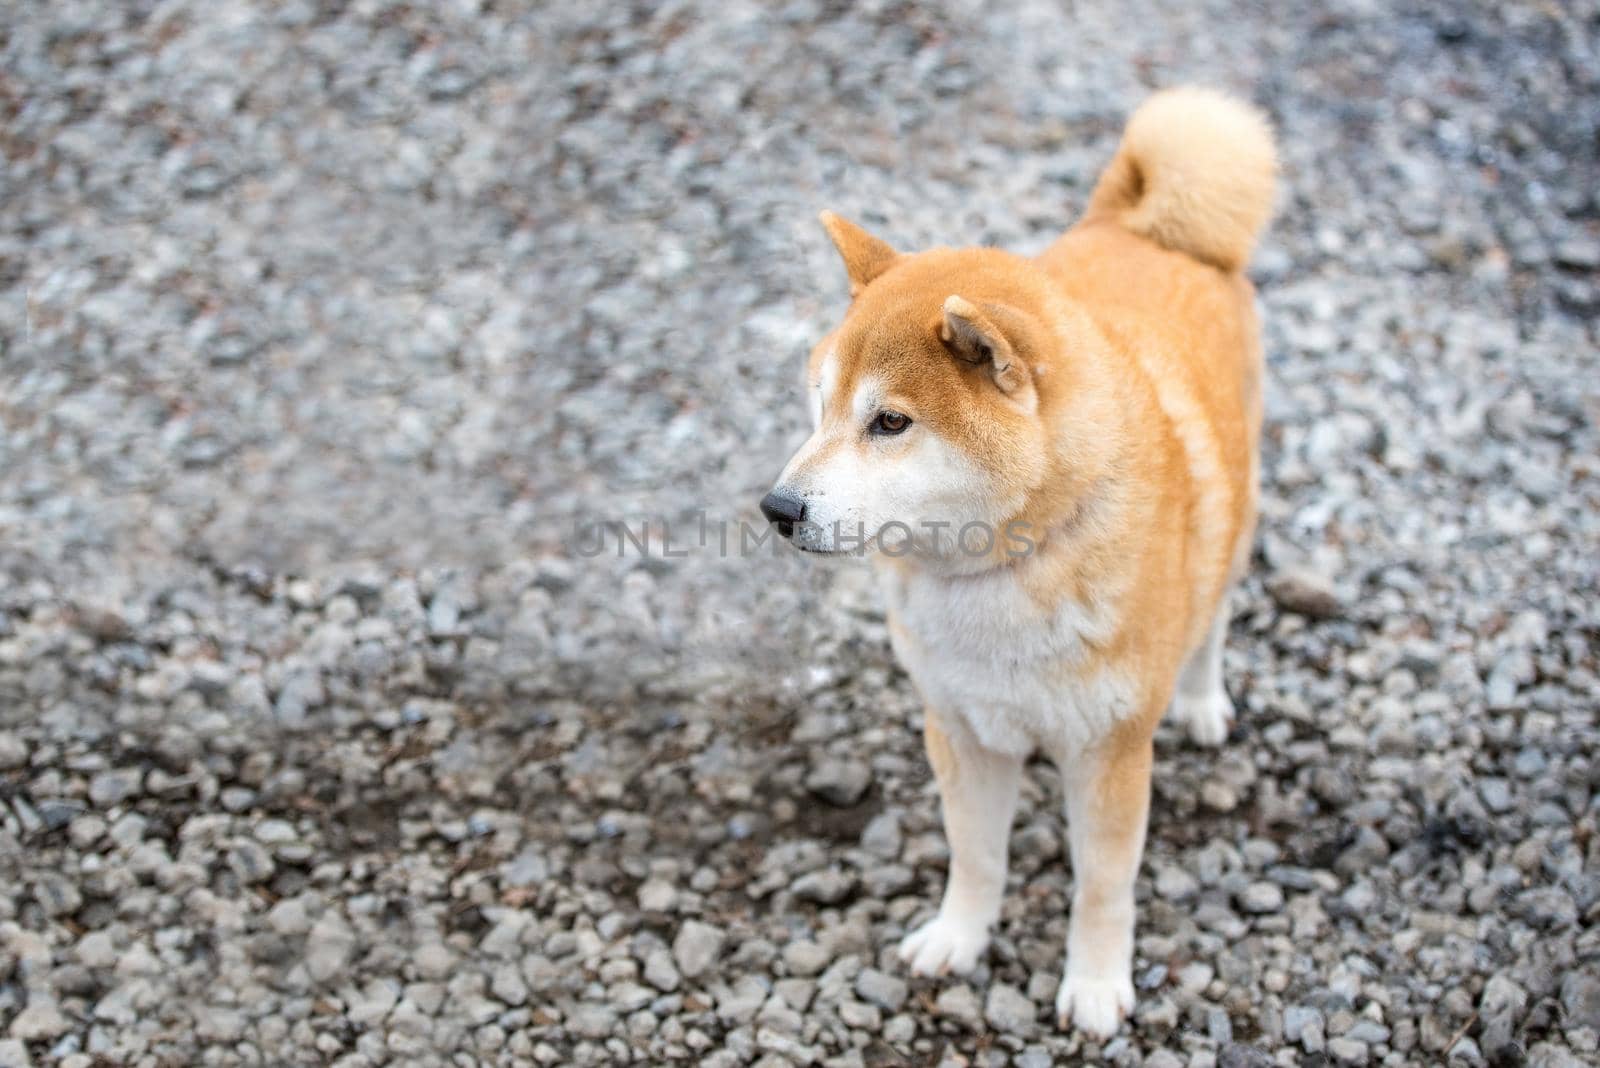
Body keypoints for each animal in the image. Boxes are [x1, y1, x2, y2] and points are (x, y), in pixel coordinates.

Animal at [761, 91, 1273, 1036]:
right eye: (819, 408)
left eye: (890, 422)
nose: (777, 509)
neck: (997, 575)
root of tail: (1141, 225)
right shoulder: (961, 729)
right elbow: (976, 856)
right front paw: (958, 938)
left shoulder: (1110, 753)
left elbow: (1102, 886)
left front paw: (1098, 985)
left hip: (1240, 513)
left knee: (1215, 610)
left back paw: (1202, 699)